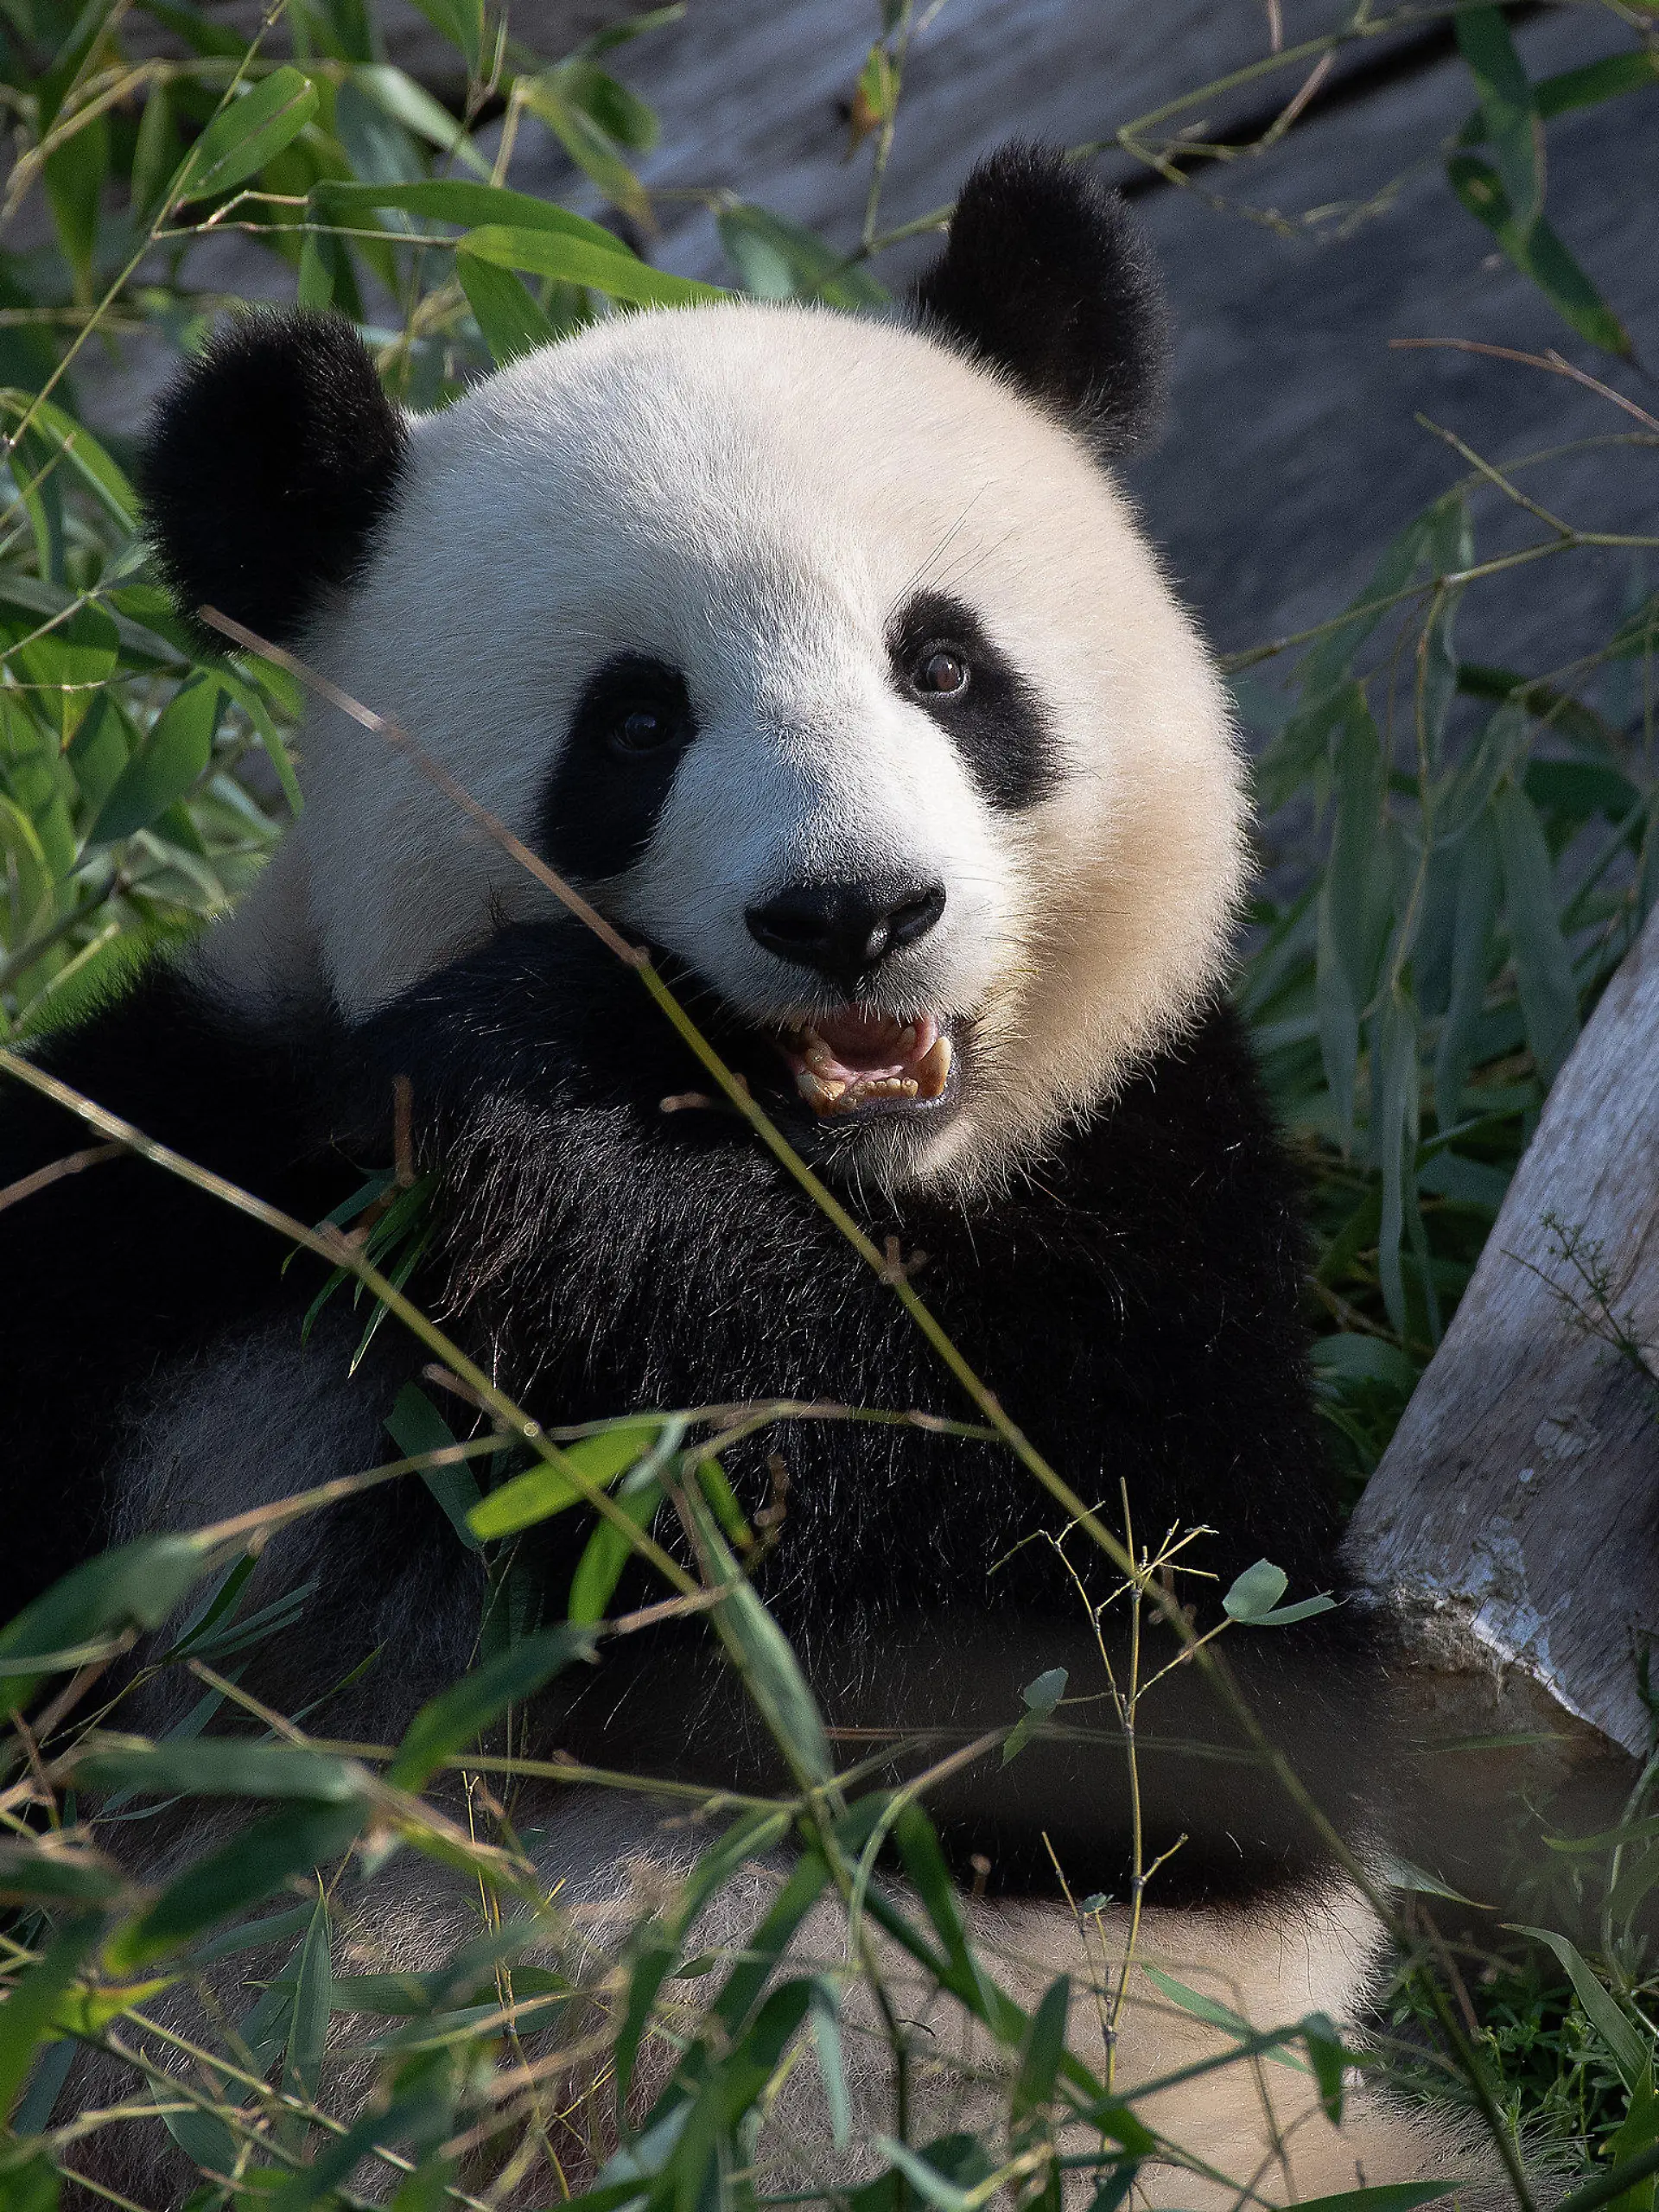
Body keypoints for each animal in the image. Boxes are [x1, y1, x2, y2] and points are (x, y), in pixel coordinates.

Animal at [1, 146, 1484, 2205]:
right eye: (636, 721)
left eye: (945, 663)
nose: (853, 912)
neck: (832, 1177)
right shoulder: (181, 1184)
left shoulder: (1160, 1201)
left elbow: (1127, 1678)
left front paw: (563, 1163)